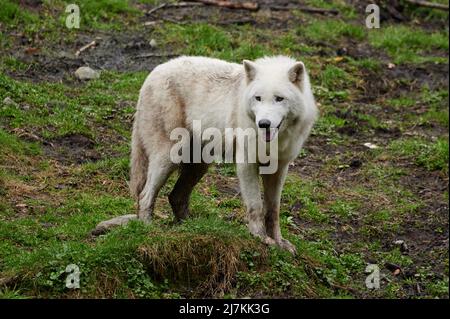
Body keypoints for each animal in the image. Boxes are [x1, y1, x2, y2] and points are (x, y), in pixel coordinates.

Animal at [130, 55, 318, 255]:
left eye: (279, 99)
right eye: (258, 98)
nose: (264, 123)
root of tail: (153, 73)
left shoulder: (279, 169)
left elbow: (273, 210)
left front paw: (279, 242)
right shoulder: (246, 164)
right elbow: (256, 206)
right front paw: (261, 237)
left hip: (199, 165)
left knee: (175, 196)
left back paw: (193, 228)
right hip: (170, 157)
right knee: (145, 195)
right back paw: (149, 229)